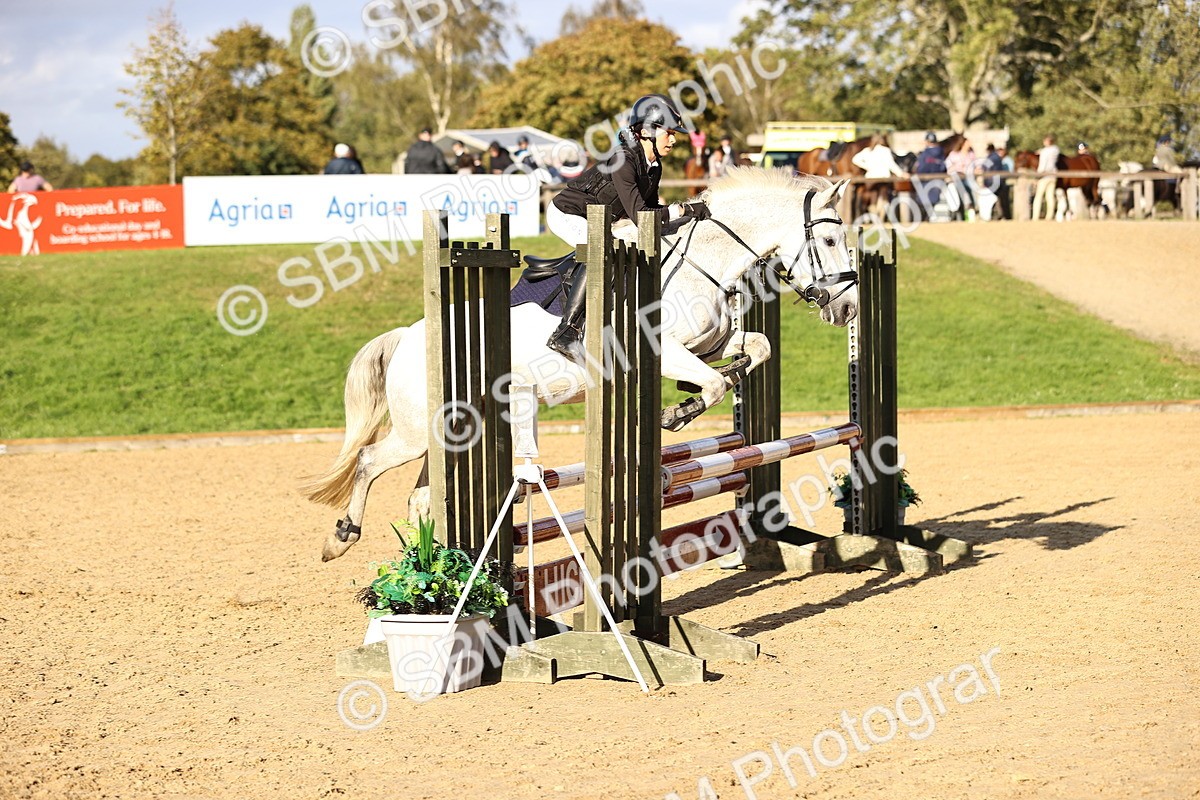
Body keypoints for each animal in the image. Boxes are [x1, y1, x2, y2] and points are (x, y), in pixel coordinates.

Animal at [303, 169, 857, 562]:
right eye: (831, 241)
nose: (848, 309)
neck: (704, 262)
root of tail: (408, 338)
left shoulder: (709, 344)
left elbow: (755, 350)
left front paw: (698, 395)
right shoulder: (665, 349)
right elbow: (715, 386)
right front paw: (674, 415)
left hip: (451, 432)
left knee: (421, 497)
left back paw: (434, 564)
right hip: (418, 431)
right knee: (369, 461)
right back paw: (342, 537)